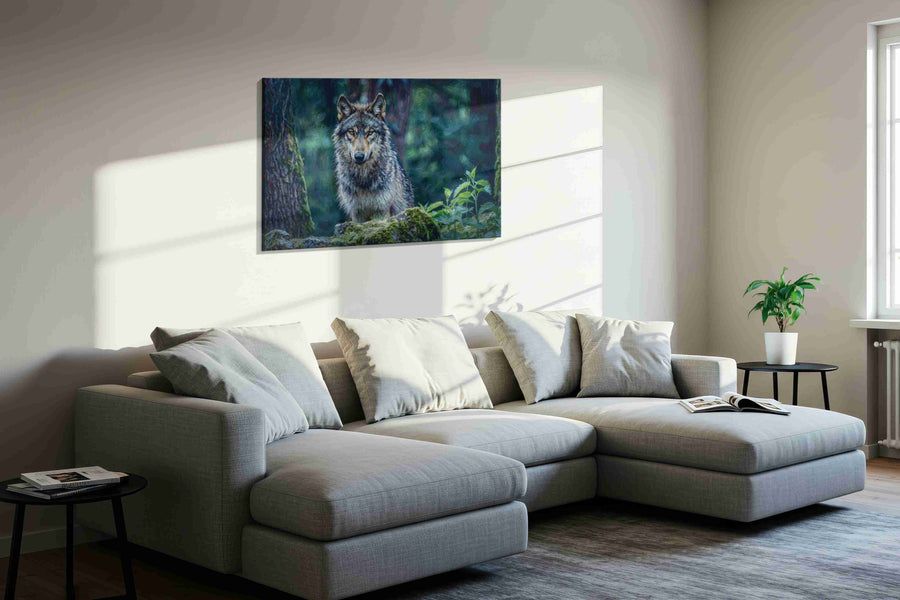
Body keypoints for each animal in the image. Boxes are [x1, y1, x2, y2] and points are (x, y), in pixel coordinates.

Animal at [332, 93, 414, 222]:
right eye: (351, 132)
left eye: (370, 132)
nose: (359, 156)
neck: (363, 179)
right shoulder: (356, 213)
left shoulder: (381, 210)